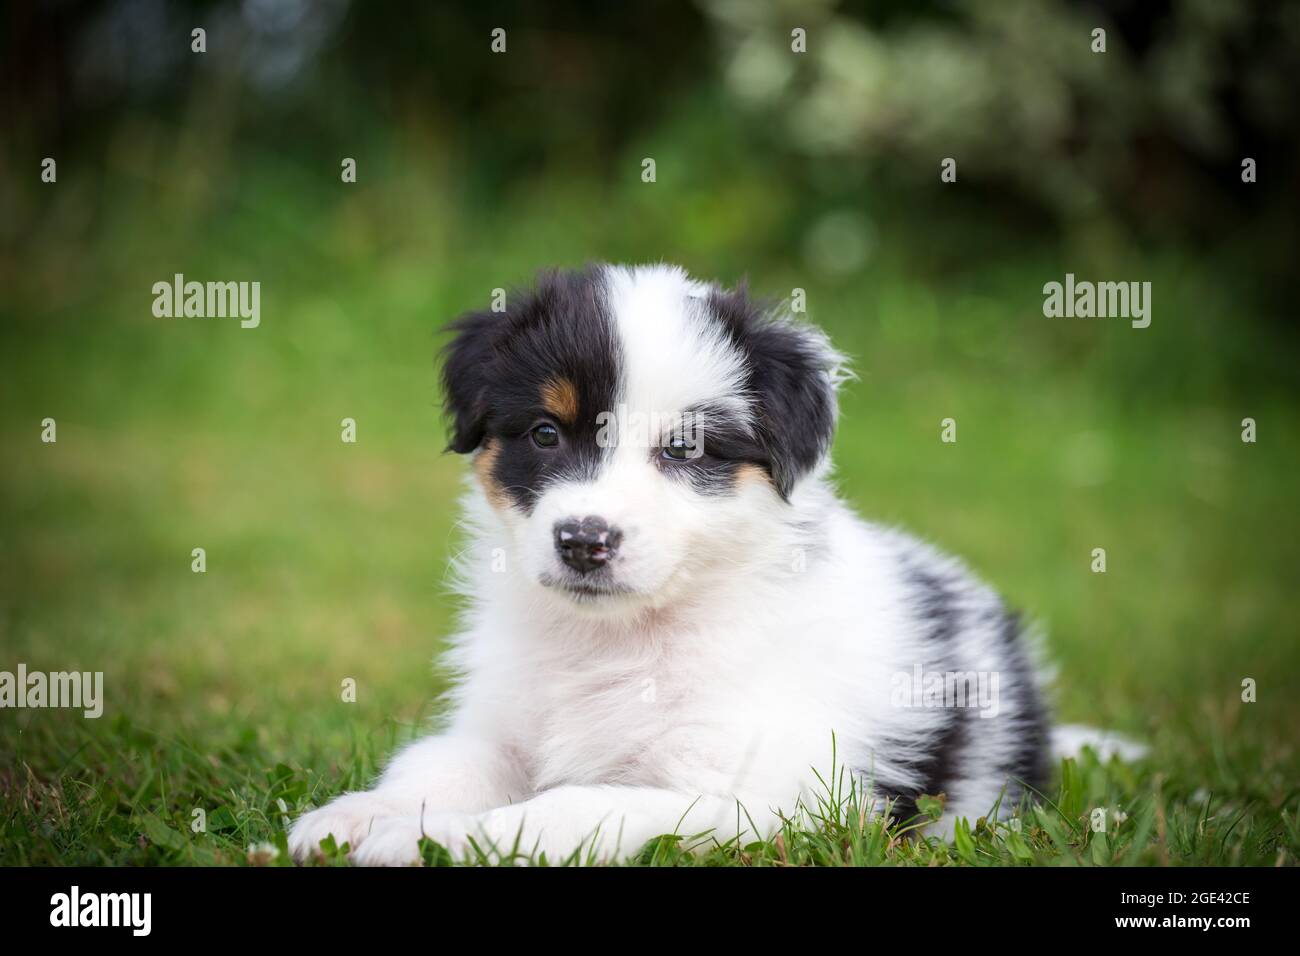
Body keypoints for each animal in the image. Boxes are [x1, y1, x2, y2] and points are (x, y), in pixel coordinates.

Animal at [287, 261, 1107, 868]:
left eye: (683, 449)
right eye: (546, 433)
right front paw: (359, 817)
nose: (583, 541)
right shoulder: (502, 729)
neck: (620, 638)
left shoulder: (754, 796)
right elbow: (435, 763)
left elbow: (568, 807)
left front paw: (442, 838)